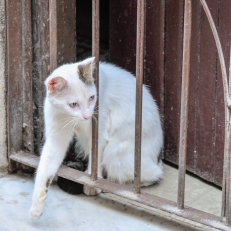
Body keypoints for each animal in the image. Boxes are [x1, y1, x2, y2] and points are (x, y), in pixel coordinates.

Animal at [29, 57, 162, 220]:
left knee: (152, 175)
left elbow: (96, 156)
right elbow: (45, 167)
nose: (87, 116)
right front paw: (36, 207)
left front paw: (92, 183)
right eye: (73, 104)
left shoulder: (100, 126)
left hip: (117, 154)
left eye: (92, 98)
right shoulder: (55, 132)